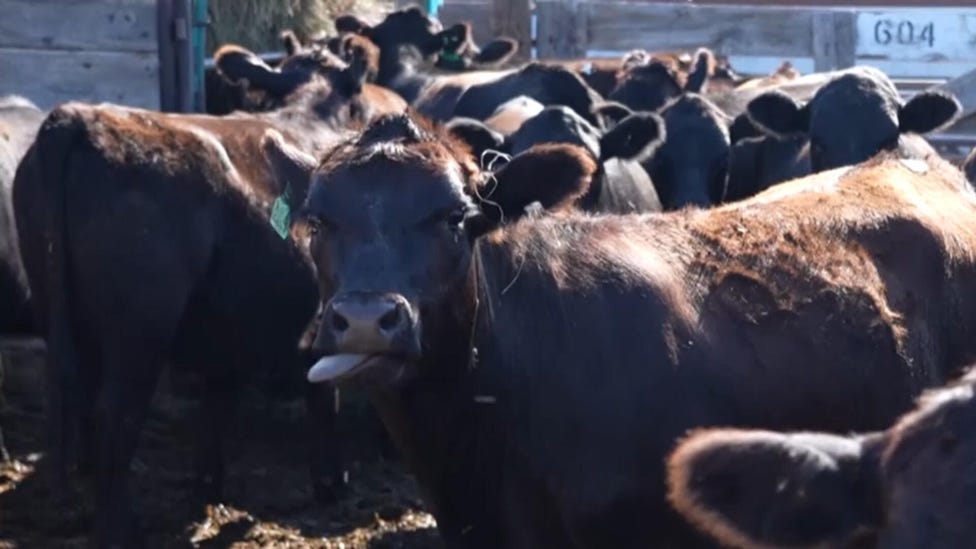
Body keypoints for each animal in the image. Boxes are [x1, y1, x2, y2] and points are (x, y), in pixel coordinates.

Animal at [11, 38, 406, 546]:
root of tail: (76, 117)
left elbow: (218, 400)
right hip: (140, 330)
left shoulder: (227, 324)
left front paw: (207, 485)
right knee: (112, 415)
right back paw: (120, 527)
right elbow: (321, 394)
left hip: (63, 310)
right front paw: (330, 482)